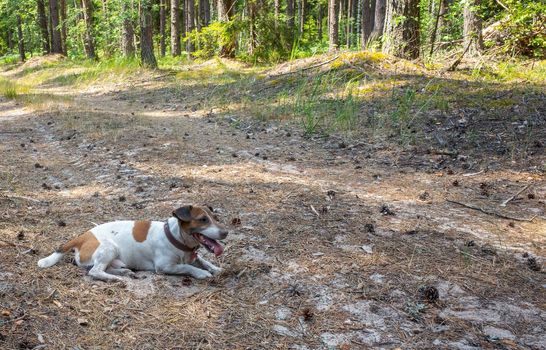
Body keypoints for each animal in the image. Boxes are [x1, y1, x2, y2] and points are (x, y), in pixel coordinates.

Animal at [36, 205, 227, 282]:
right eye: (203, 219)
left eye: (215, 217)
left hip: (113, 258)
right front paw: (201, 273)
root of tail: (82, 236)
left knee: (100, 268)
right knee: (95, 272)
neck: (176, 238)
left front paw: (215, 268)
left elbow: (203, 260)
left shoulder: (192, 256)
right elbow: (187, 267)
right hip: (109, 248)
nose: (226, 232)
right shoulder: (165, 267)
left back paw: (124, 272)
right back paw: (115, 278)